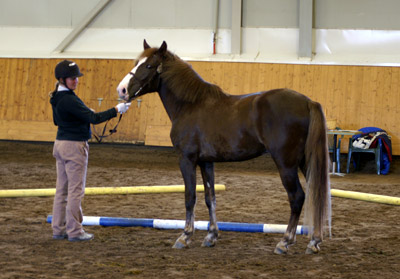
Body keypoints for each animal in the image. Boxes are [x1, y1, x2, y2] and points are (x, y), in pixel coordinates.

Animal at [116, 40, 332, 256]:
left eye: (149, 66)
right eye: (136, 63)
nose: (122, 90)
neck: (190, 105)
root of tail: (307, 102)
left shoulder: (187, 159)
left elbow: (190, 196)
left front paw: (185, 236)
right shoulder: (206, 162)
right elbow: (210, 197)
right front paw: (211, 236)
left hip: (286, 164)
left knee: (297, 197)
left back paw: (285, 241)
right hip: (305, 161)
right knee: (316, 194)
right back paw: (314, 241)